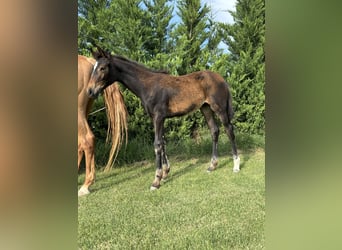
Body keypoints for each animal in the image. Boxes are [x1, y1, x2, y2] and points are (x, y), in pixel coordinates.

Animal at [87, 47, 239, 190]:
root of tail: (222, 79)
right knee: (214, 130)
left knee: (229, 130)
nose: (90, 91)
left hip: (219, 108)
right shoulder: (159, 118)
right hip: (205, 108)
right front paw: (165, 173)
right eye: (93, 68)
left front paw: (156, 180)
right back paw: (212, 165)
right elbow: (163, 142)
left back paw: (236, 165)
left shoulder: (158, 117)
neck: (147, 85)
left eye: (102, 68)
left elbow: (157, 144)